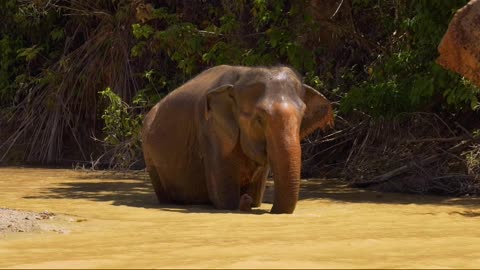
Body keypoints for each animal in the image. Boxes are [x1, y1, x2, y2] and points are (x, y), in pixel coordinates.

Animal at [141, 65, 332, 213]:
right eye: (259, 118)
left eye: (302, 116)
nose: (245, 198)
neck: (240, 77)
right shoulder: (212, 131)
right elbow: (225, 200)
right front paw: (240, 202)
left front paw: (252, 201)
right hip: (149, 155)